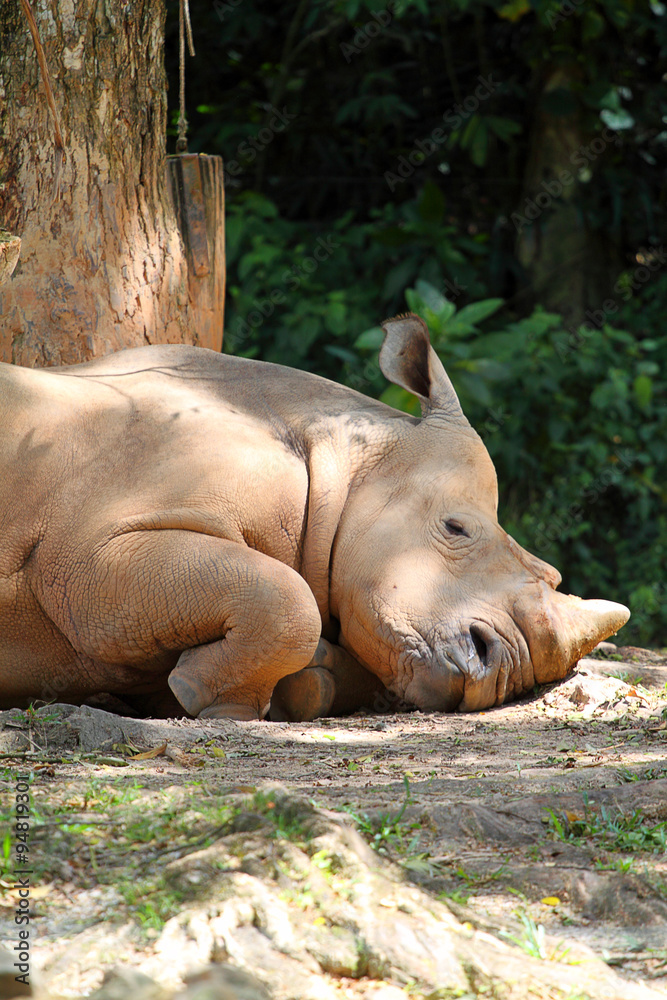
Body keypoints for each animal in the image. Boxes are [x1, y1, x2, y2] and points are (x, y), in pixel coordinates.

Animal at [0, 313, 629, 722]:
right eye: (454, 529)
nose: (505, 673)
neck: (346, 459)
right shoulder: (84, 553)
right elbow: (288, 598)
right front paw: (207, 698)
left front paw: (307, 684)